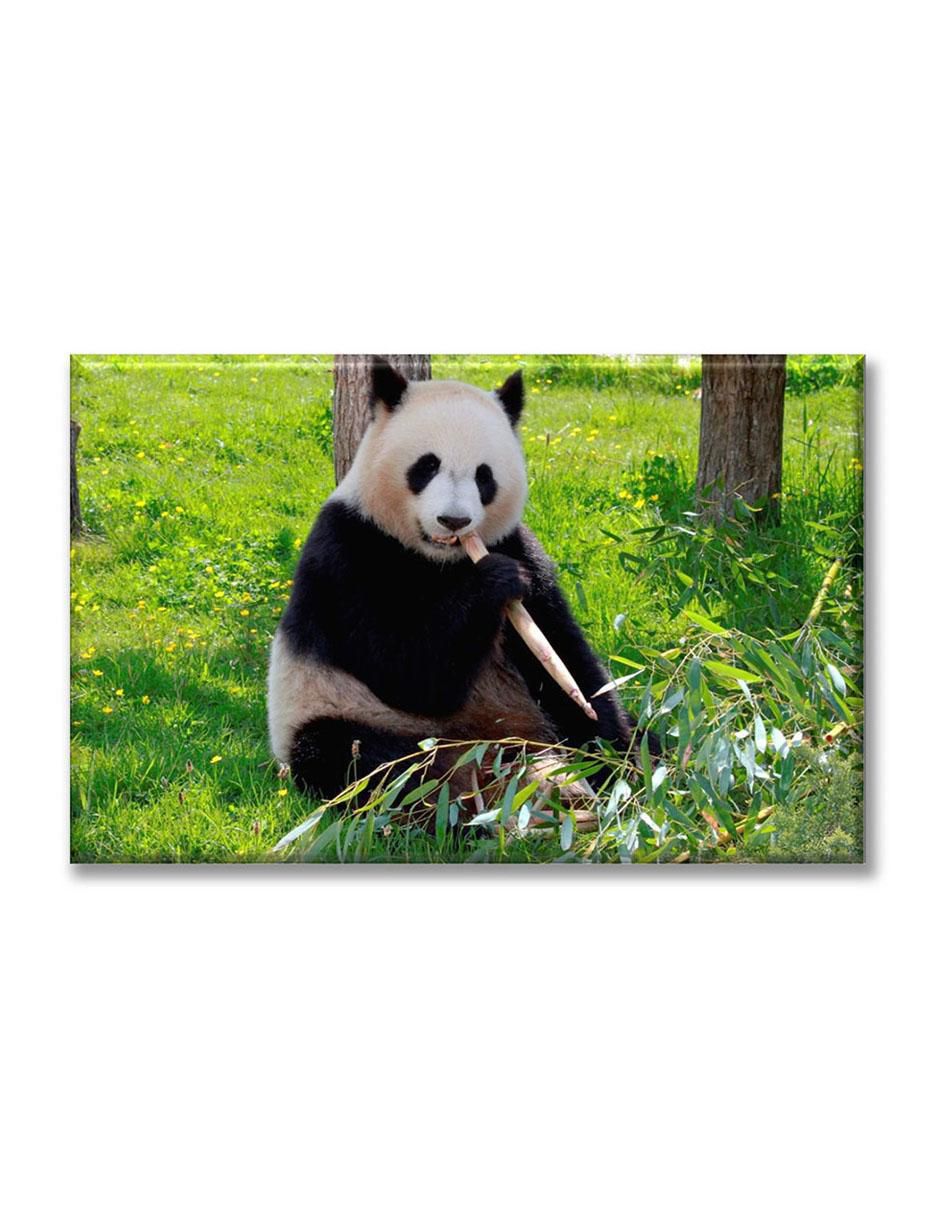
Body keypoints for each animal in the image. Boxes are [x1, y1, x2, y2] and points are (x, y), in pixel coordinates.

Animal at [267, 358, 639, 809]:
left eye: (484, 476)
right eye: (427, 466)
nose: (454, 520)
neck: (439, 560)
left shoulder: (518, 545)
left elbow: (563, 657)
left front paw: (612, 756)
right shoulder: (348, 553)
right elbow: (407, 673)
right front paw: (494, 581)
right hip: (337, 712)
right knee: (361, 760)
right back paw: (462, 801)